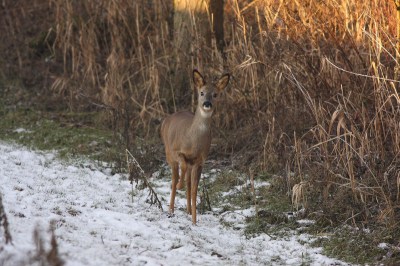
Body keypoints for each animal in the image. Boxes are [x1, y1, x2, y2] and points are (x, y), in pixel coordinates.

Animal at [161, 68, 230, 224]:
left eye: (215, 94)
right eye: (202, 92)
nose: (207, 103)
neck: (193, 142)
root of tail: (166, 120)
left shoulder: (200, 161)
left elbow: (194, 190)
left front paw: (194, 220)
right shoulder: (176, 151)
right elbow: (182, 169)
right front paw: (179, 187)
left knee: (187, 181)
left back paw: (187, 210)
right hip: (168, 154)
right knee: (174, 179)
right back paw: (171, 208)